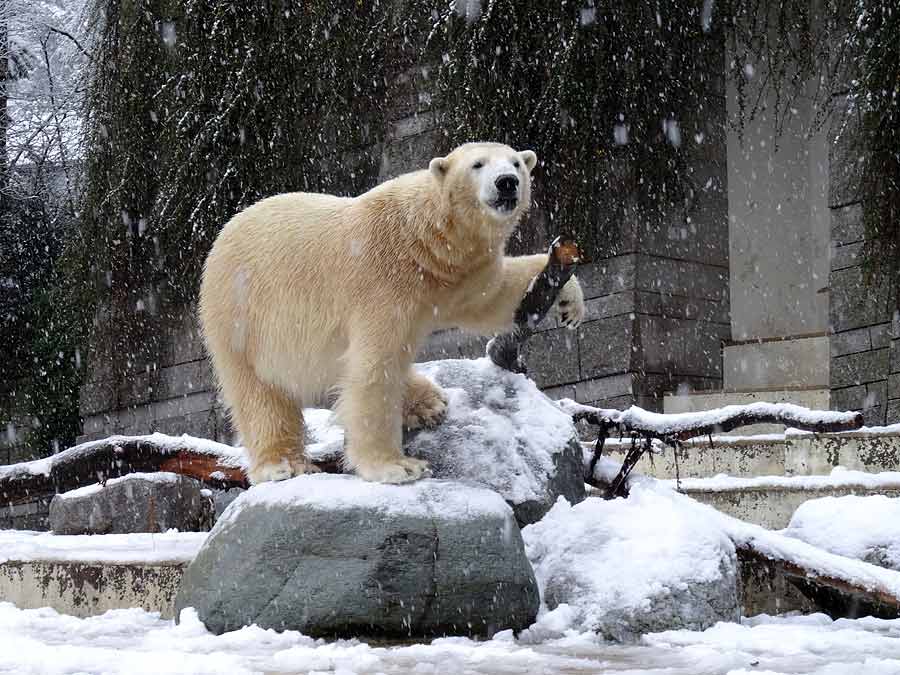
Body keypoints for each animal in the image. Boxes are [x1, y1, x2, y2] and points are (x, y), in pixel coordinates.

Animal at [200, 144, 588, 486]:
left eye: (517, 163)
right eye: (477, 164)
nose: (506, 182)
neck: (421, 238)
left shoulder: (453, 274)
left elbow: (492, 298)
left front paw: (568, 299)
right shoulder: (381, 281)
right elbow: (376, 367)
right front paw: (396, 467)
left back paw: (427, 402)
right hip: (242, 317)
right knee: (260, 395)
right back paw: (284, 464)